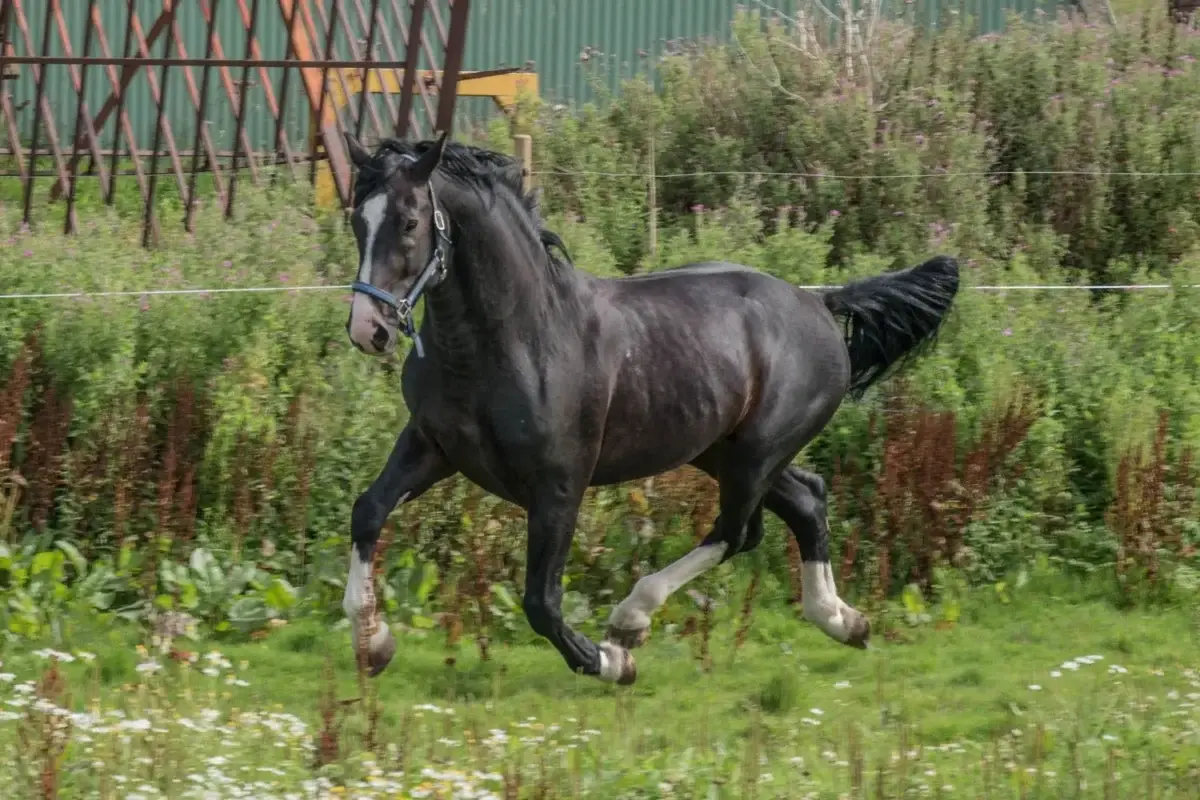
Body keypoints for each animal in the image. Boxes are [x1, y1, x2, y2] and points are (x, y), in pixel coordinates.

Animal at [339, 131, 960, 685]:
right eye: (356, 221)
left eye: (410, 222)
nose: (368, 330)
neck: (514, 339)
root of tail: (821, 303)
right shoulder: (433, 446)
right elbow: (367, 511)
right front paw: (374, 642)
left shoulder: (560, 482)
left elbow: (541, 600)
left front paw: (610, 662)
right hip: (720, 450)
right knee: (806, 501)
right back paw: (843, 621)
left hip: (758, 451)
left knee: (738, 531)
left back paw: (630, 621)